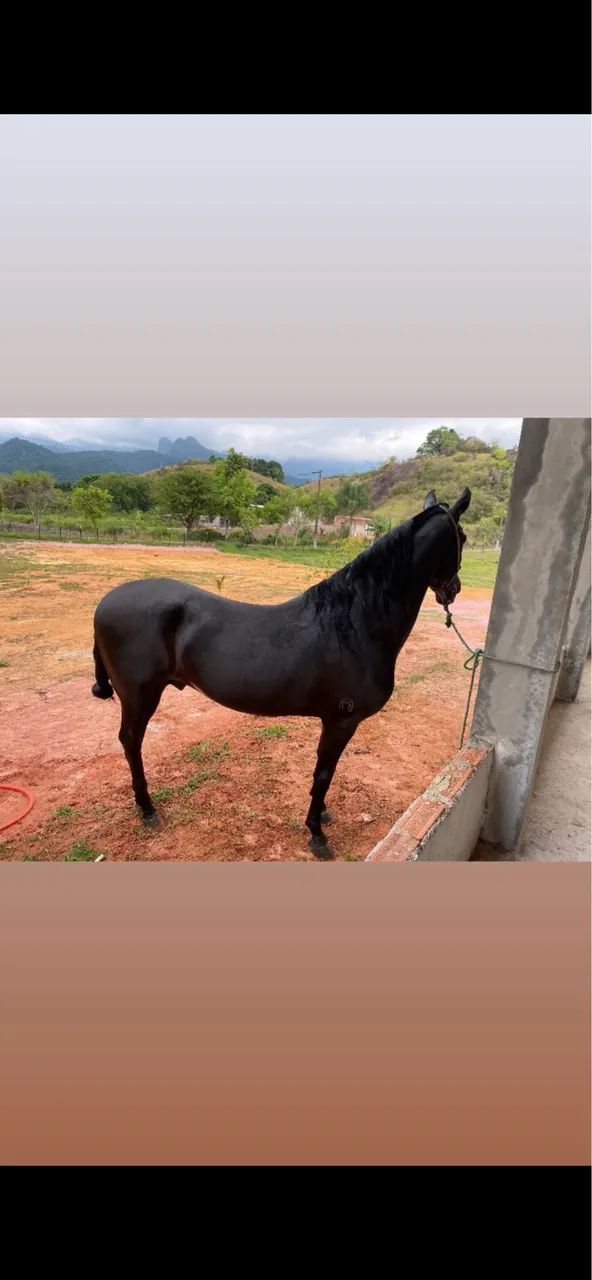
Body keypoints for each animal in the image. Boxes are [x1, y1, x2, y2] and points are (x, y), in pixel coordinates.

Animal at [91, 486, 471, 857]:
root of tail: (104, 603)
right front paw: (317, 834)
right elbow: (324, 773)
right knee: (131, 741)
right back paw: (147, 809)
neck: (354, 625)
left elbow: (321, 774)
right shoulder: (341, 722)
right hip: (139, 696)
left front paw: (322, 815)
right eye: (463, 538)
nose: (453, 589)